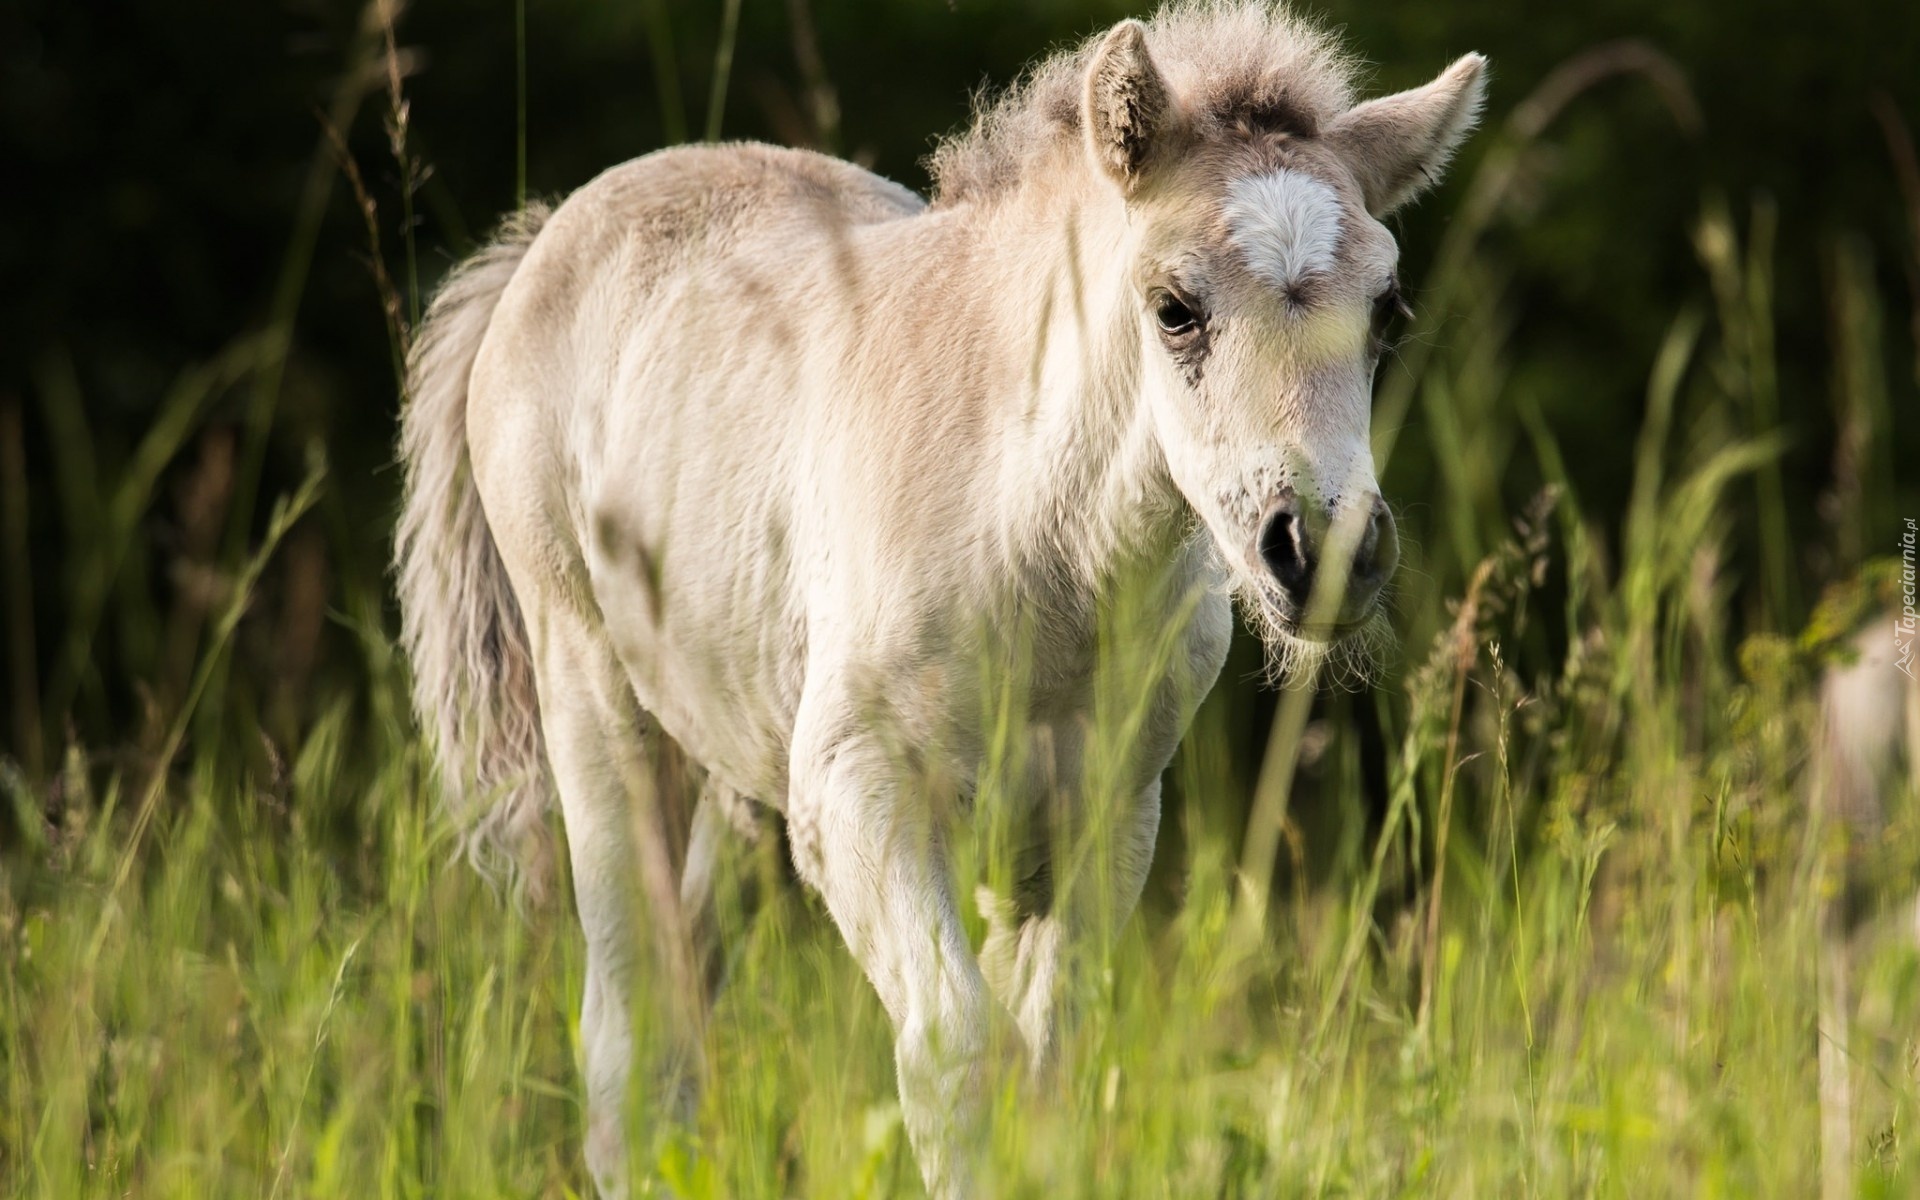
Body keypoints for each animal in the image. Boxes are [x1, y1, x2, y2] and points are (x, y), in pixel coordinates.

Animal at [397, 4, 1489, 1190]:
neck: (1036, 549)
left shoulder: (1103, 812)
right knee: (625, 1042)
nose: (1324, 552)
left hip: (742, 760)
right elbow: (956, 1053)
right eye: (1175, 309)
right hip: (593, 698)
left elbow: (1048, 1056)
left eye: (1389, 312)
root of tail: (547, 239)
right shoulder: (857, 793)